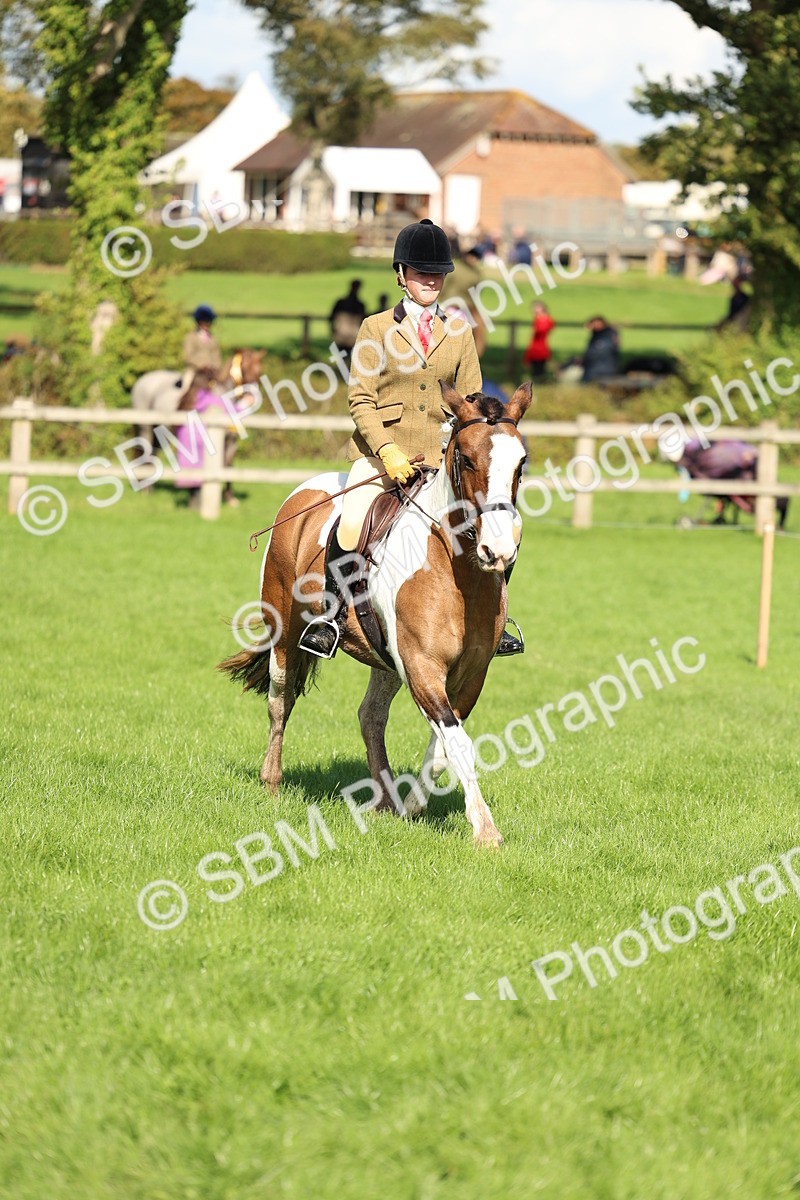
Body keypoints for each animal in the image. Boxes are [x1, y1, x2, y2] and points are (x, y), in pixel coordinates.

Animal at [218, 380, 532, 847]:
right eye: (466, 458)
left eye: (521, 463)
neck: (457, 572)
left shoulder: (471, 674)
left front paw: (415, 807)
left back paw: (386, 801)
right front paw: (485, 831)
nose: (499, 550)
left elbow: (444, 745)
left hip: (384, 659)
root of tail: (304, 491)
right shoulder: (422, 666)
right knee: (280, 700)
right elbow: (456, 743)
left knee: (370, 716)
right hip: (285, 630)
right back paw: (271, 783)